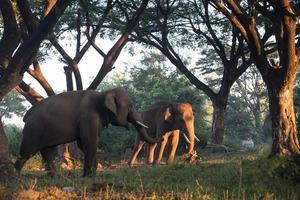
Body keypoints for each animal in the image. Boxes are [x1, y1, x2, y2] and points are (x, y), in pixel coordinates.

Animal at [14, 88, 159, 176]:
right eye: (130, 107)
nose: (160, 137)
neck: (103, 94)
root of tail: (26, 116)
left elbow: (84, 144)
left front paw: (92, 174)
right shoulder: (89, 117)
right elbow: (89, 142)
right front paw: (88, 177)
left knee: (47, 151)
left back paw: (54, 177)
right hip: (33, 130)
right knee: (27, 152)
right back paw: (17, 177)